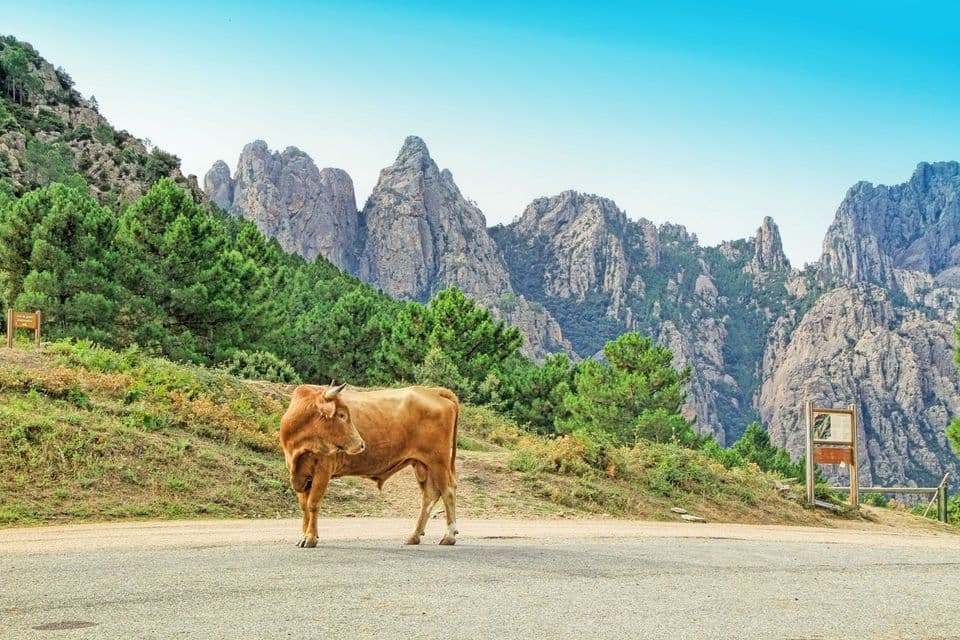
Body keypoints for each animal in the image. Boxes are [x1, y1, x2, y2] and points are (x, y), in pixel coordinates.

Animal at [279, 382, 460, 547]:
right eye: (341, 415)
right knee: (429, 495)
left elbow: (313, 504)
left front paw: (310, 538)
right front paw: (304, 536)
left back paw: (449, 536)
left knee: (448, 491)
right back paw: (414, 535)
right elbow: (304, 507)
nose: (361, 444)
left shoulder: (323, 470)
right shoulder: (301, 474)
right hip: (422, 464)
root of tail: (433, 391)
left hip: (438, 461)